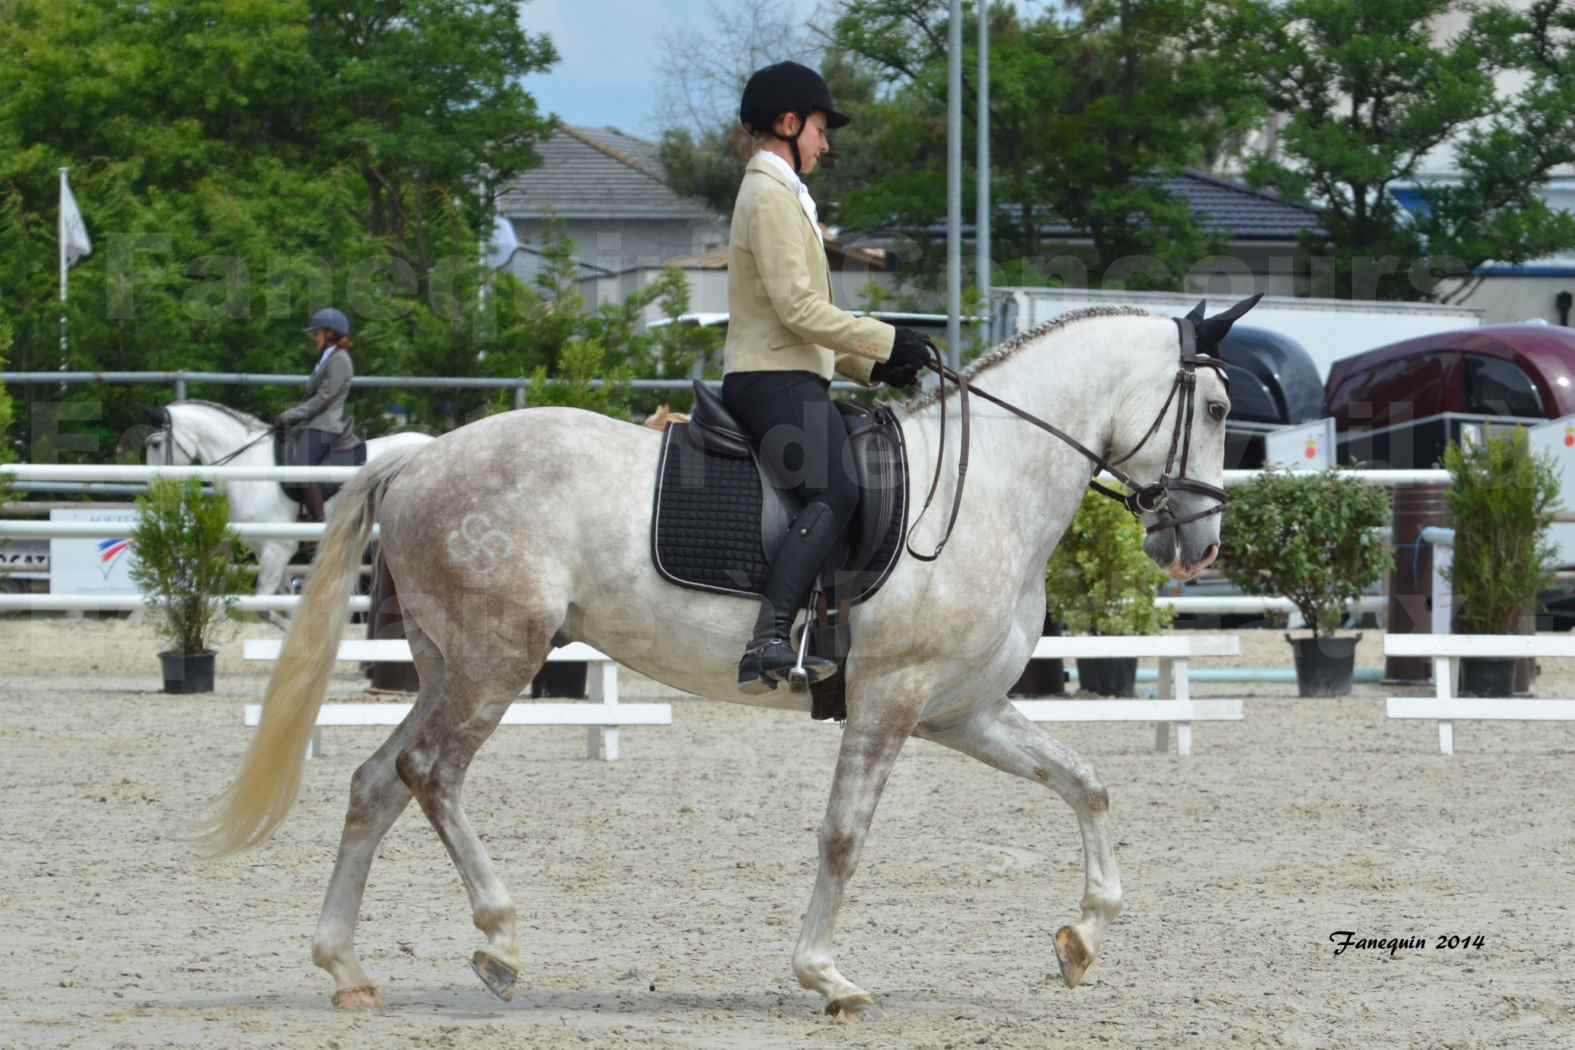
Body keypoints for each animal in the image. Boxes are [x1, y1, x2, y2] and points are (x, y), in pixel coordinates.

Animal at [145, 399, 434, 598]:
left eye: (155, 444)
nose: (154, 490)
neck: (247, 463)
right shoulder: (265, 548)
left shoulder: (278, 547)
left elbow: (264, 599)